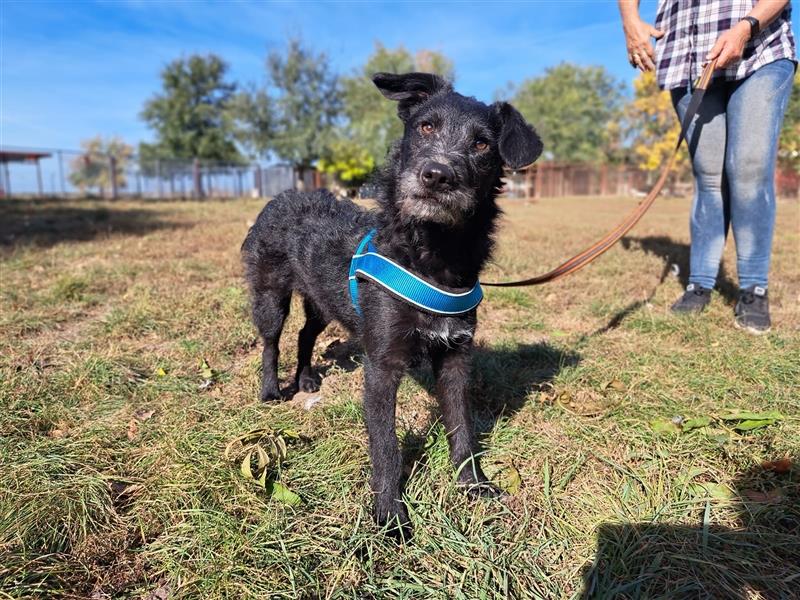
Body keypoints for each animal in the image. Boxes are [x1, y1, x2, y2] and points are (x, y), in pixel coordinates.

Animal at [242, 71, 544, 540]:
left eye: (482, 144)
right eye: (425, 127)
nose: (436, 175)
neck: (431, 255)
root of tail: (282, 195)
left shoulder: (455, 356)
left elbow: (462, 427)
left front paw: (472, 484)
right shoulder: (382, 365)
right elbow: (385, 444)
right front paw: (389, 514)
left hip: (322, 301)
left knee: (306, 334)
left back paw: (307, 378)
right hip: (271, 294)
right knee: (272, 340)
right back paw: (273, 389)